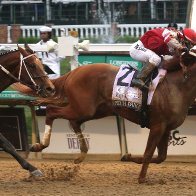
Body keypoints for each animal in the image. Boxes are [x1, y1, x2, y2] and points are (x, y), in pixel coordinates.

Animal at [0, 44, 55, 176]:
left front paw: (32, 168)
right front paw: (33, 168)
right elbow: (6, 143)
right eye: (32, 65)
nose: (50, 88)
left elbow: (8, 144)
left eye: (42, 64)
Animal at [14, 48, 196, 182]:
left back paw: (81, 154)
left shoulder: (166, 128)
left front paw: (127, 156)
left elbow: (161, 157)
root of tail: (74, 72)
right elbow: (149, 153)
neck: (176, 86)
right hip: (83, 108)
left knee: (74, 122)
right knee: (52, 111)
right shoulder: (158, 126)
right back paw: (40, 145)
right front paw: (142, 178)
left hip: (95, 110)